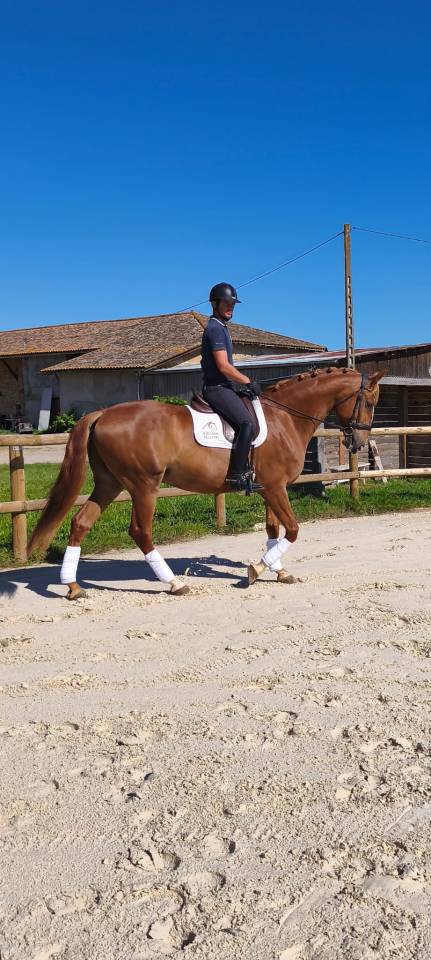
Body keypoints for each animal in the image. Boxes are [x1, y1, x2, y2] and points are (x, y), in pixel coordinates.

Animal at [28, 366, 384, 598]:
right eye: (368, 401)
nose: (358, 443)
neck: (285, 418)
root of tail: (103, 413)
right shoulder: (275, 488)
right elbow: (293, 530)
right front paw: (255, 571)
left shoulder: (272, 488)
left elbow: (273, 530)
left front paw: (279, 571)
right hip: (143, 485)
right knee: (140, 531)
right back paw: (174, 583)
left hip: (109, 483)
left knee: (80, 522)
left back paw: (72, 586)